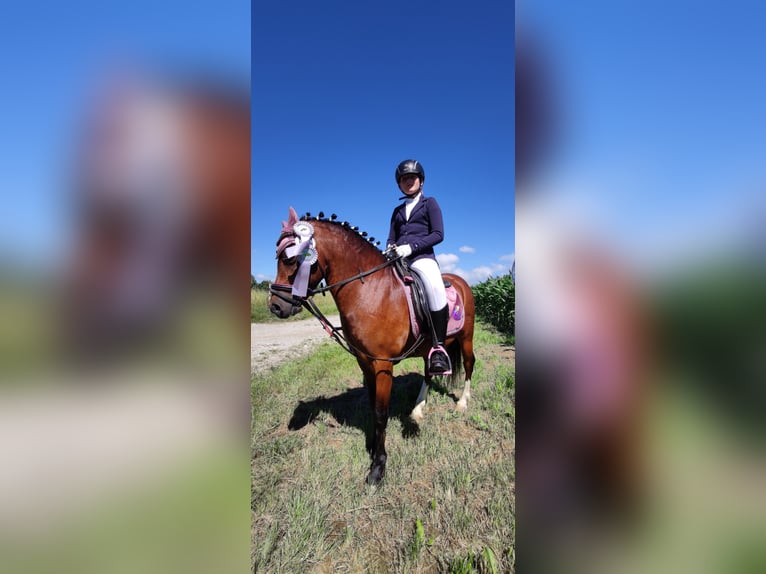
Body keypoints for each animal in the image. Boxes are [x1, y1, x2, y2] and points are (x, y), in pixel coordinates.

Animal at [268, 207, 476, 485]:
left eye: (290, 259)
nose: (276, 306)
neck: (372, 291)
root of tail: (462, 281)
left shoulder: (381, 364)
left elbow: (380, 412)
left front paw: (378, 466)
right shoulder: (364, 361)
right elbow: (371, 407)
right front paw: (373, 447)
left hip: (466, 338)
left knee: (469, 364)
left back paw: (462, 403)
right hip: (429, 348)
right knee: (428, 372)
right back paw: (417, 409)